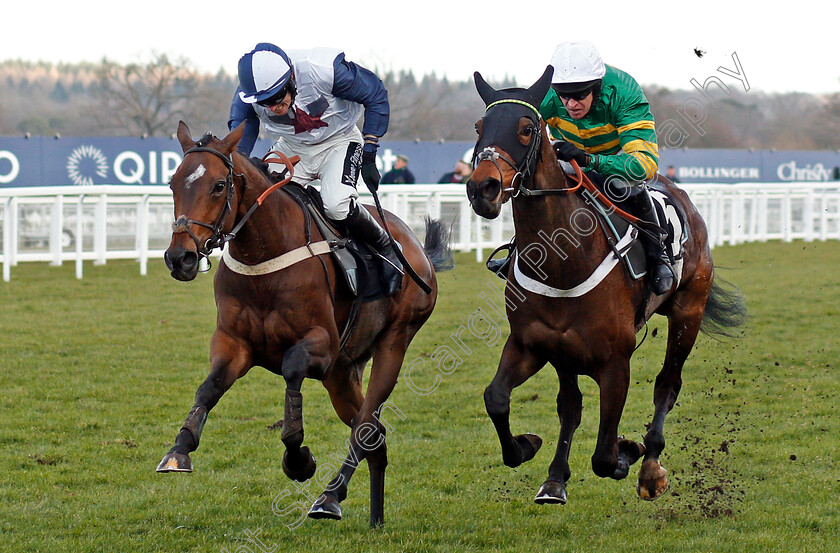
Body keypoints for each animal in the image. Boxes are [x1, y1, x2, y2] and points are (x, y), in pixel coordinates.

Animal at [156, 121, 446, 528]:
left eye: (218, 185)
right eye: (173, 183)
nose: (179, 257)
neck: (265, 257)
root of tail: (415, 248)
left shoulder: (322, 346)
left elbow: (292, 368)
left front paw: (298, 459)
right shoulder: (234, 343)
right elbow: (208, 388)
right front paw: (179, 449)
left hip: (393, 342)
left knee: (365, 427)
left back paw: (330, 497)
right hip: (343, 374)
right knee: (375, 435)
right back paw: (375, 518)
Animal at [466, 68, 748, 504]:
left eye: (527, 128)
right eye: (480, 126)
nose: (483, 189)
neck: (563, 261)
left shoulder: (616, 362)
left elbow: (603, 454)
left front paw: (627, 452)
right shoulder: (533, 344)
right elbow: (498, 399)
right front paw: (529, 449)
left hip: (689, 311)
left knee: (668, 384)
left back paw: (650, 466)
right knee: (571, 404)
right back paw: (556, 477)